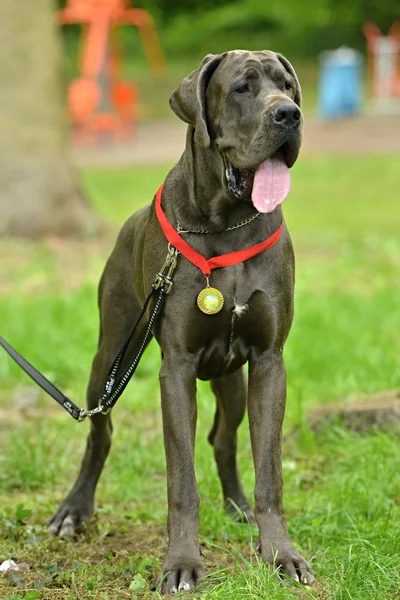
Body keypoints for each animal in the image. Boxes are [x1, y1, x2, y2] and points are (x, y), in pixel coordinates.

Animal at [47, 50, 316, 592]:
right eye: (242, 88)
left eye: (288, 85)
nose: (289, 115)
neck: (227, 221)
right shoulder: (176, 370)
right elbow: (181, 480)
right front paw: (182, 563)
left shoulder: (269, 362)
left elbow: (270, 471)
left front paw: (281, 554)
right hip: (108, 361)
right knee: (99, 435)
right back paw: (74, 509)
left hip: (233, 381)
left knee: (224, 438)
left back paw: (239, 508)